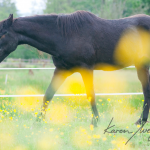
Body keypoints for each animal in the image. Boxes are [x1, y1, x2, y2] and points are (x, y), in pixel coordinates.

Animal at [0, 9, 150, 126]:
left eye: (3, 33)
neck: (66, 36)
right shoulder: (61, 70)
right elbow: (48, 95)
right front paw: (37, 122)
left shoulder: (86, 69)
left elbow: (90, 94)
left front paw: (95, 122)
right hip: (141, 66)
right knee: (146, 90)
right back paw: (140, 122)